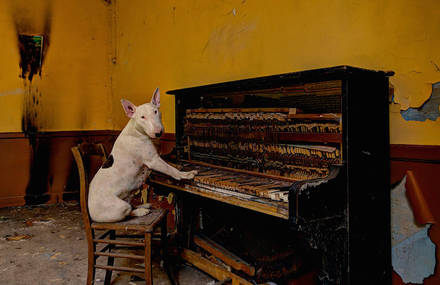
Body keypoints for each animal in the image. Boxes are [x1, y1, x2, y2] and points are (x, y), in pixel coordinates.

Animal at [88, 87, 197, 221]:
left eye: (155, 111)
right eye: (142, 117)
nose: (158, 132)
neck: (137, 130)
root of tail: (90, 214)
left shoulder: (160, 157)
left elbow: (172, 164)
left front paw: (182, 166)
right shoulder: (154, 161)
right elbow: (171, 169)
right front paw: (185, 175)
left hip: (128, 197)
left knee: (131, 205)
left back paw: (143, 205)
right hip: (120, 207)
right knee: (128, 213)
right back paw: (141, 211)